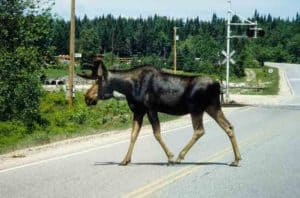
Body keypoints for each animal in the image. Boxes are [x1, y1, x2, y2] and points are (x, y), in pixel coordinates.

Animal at [77, 58, 241, 166]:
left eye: (99, 81)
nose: (87, 97)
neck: (128, 87)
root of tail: (217, 85)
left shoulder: (150, 108)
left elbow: (156, 133)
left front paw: (170, 157)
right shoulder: (138, 111)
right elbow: (133, 135)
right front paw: (125, 160)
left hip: (196, 108)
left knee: (199, 130)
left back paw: (179, 157)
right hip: (212, 107)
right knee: (228, 126)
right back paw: (236, 159)